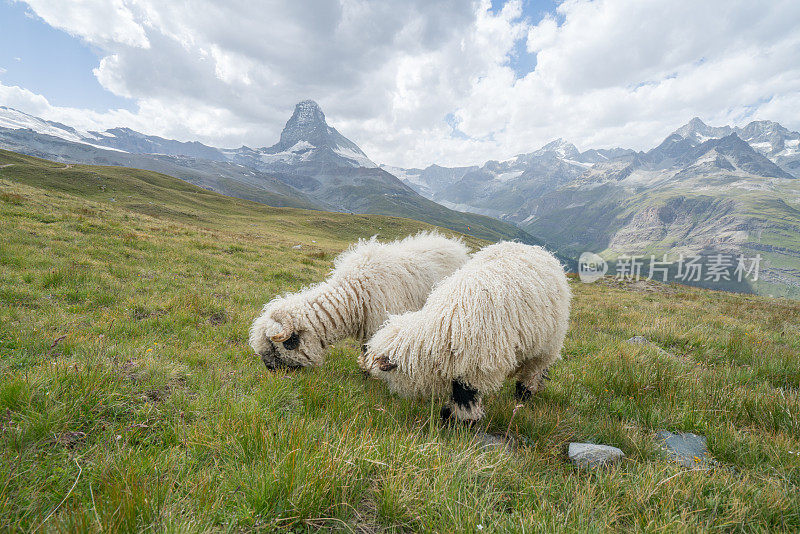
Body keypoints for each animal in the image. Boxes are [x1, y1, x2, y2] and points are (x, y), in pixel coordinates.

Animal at [362, 242, 568, 422]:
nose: (389, 395)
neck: (447, 327)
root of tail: (536, 248)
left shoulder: (477, 364)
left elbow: (465, 395)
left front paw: (463, 422)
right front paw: (450, 416)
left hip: (548, 347)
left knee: (533, 373)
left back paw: (523, 397)